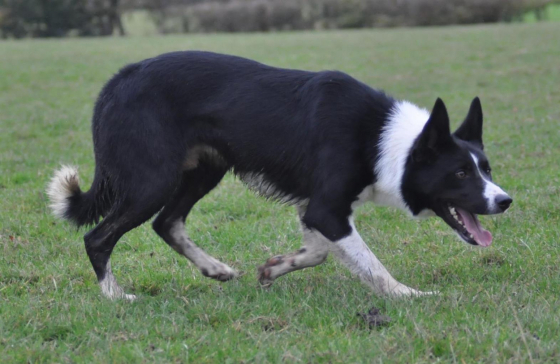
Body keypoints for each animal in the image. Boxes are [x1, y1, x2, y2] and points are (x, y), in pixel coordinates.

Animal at [47, 52, 512, 302]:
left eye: (486, 168)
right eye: (459, 172)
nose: (505, 201)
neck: (382, 139)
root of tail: (118, 81)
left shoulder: (316, 209)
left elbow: (320, 252)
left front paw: (275, 269)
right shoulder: (326, 209)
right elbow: (371, 265)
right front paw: (407, 295)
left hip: (204, 171)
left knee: (167, 222)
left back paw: (215, 268)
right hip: (152, 180)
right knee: (98, 238)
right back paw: (114, 295)